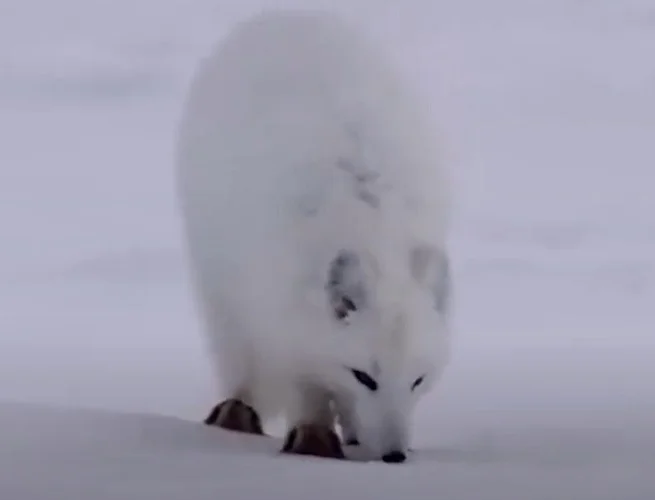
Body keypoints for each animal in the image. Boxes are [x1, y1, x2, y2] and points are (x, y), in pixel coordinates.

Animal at [175, 9, 454, 463]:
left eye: (418, 379)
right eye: (364, 376)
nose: (395, 455)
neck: (371, 226)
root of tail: (284, 14)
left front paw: (355, 433)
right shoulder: (280, 313)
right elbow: (305, 380)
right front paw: (314, 438)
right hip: (218, 284)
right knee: (235, 354)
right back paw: (236, 410)